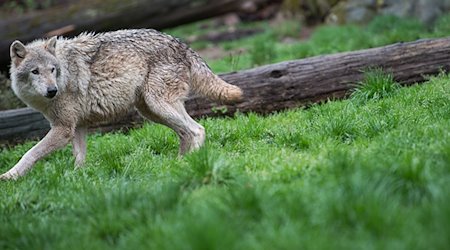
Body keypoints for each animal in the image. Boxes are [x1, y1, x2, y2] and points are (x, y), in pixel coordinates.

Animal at [0, 28, 243, 180]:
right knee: (185, 133)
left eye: (52, 70)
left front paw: (10, 176)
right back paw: (179, 164)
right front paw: (78, 180)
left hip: (157, 105)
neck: (64, 73)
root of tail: (180, 43)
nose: (52, 91)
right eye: (35, 71)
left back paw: (191, 163)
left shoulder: (63, 129)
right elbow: (79, 158)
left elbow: (30, 153)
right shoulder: (78, 127)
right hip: (151, 111)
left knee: (197, 129)